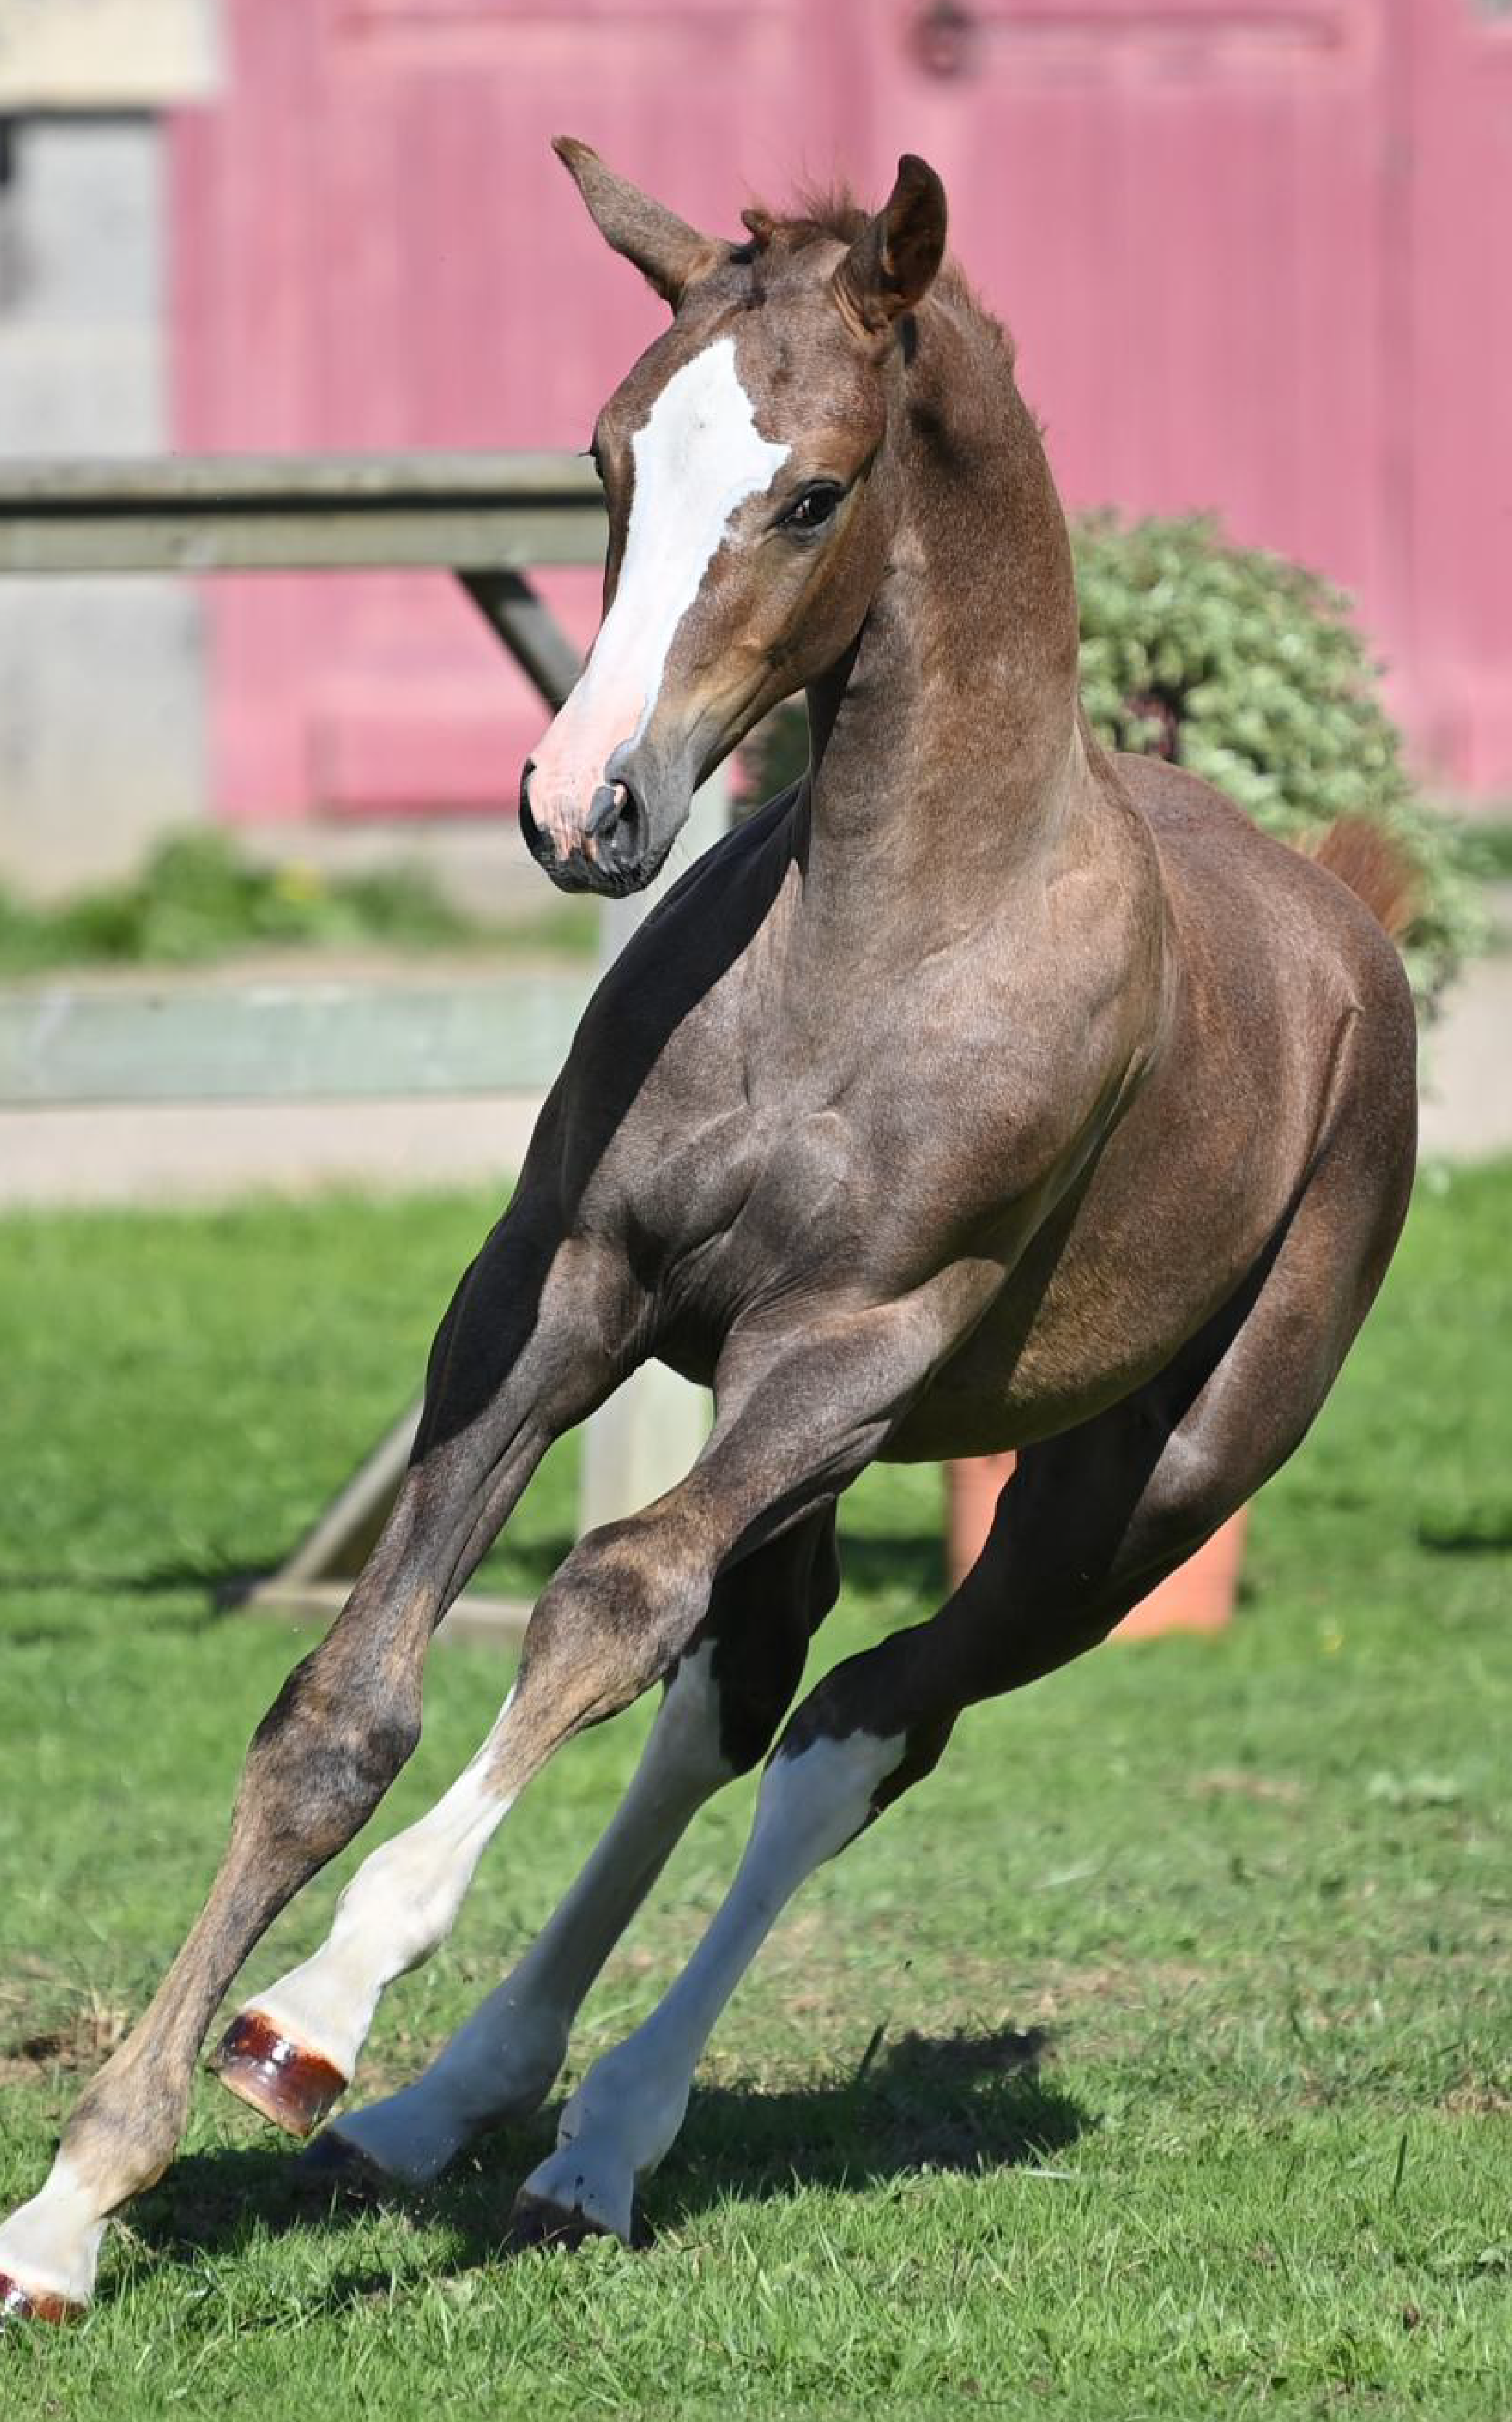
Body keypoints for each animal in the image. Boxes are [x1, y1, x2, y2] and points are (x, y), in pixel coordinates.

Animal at [0, 141, 1415, 2315]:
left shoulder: (848, 1347)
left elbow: (600, 1599)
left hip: (1130, 1487)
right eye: (605, 453)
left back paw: (592, 2139)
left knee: (851, 1727)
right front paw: (74, 2202)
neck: (880, 941)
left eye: (813, 492)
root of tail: (1343, 902)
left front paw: (310, 2013)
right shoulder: (554, 1294)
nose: (583, 805)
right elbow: (351, 1705)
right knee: (734, 1695)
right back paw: (462, 2107)